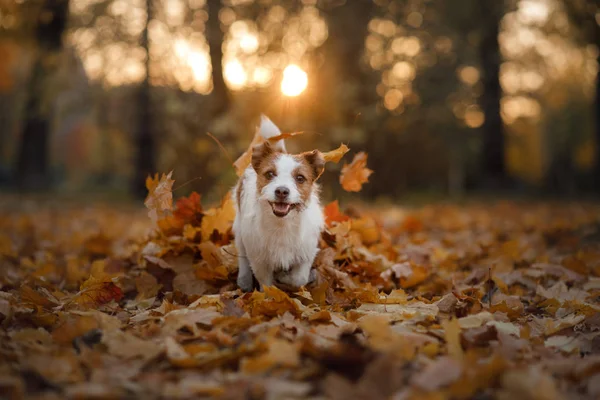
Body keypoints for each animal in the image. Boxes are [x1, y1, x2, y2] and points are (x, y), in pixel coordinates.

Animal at [233, 115, 324, 290]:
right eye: (269, 174)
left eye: (300, 178)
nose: (282, 191)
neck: (282, 224)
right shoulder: (259, 261)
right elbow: (267, 285)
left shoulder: (306, 254)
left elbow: (299, 278)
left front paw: (284, 277)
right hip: (240, 229)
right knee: (242, 254)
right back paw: (244, 280)